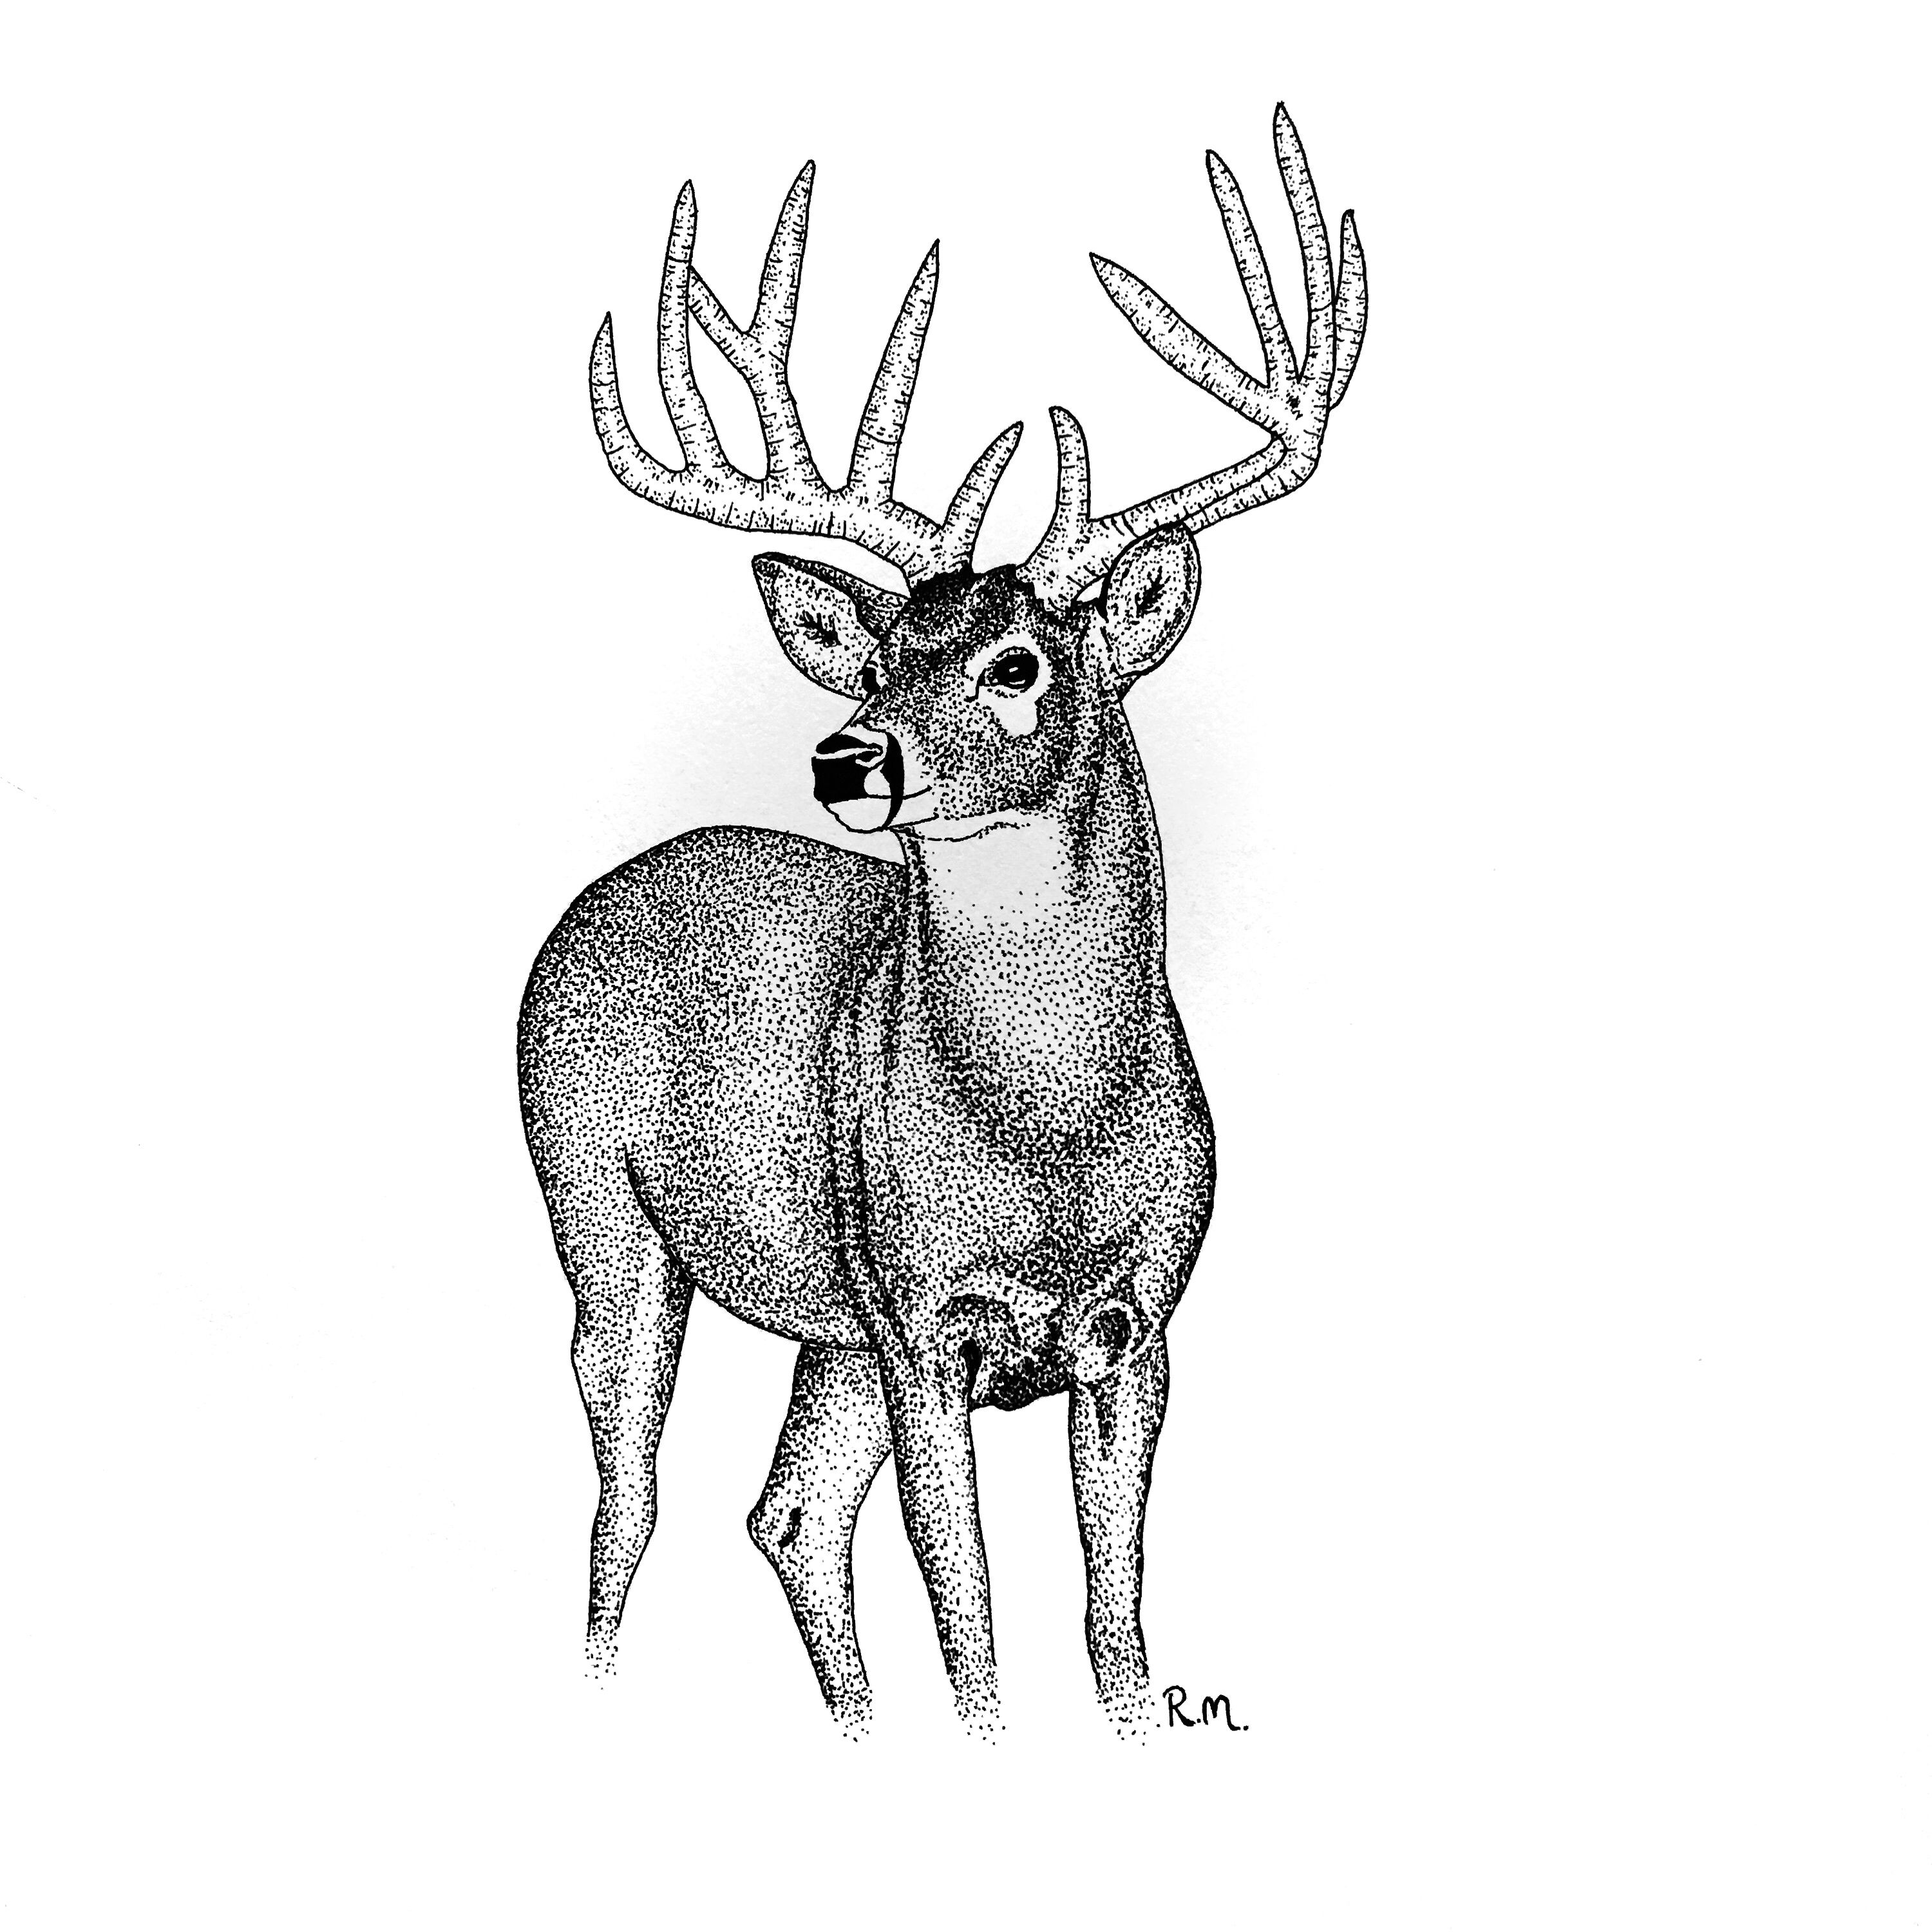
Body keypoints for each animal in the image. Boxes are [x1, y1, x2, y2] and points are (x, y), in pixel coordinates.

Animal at [518, 103, 1367, 1736]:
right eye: (880, 657)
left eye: (1018, 662)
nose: (846, 757)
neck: (1047, 1143)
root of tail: (598, 892)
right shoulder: (921, 1319)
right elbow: (972, 1627)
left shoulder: (1135, 1327)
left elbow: (1113, 1623)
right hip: (601, 1211)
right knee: (625, 1496)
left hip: (826, 1326)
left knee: (786, 1513)